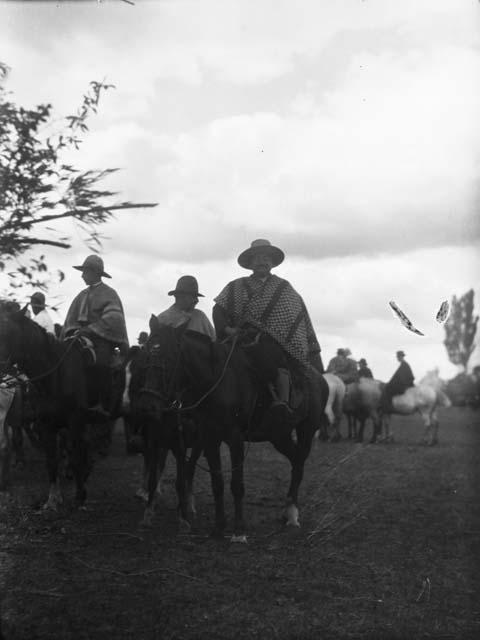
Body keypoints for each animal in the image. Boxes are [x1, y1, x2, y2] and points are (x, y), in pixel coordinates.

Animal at [0, 304, 113, 510]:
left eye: (9, 334)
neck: (53, 376)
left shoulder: (75, 421)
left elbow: (74, 455)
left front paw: (80, 496)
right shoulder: (46, 424)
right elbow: (51, 460)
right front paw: (53, 499)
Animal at [137, 318, 328, 536]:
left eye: (169, 357)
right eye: (145, 354)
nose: (147, 405)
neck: (216, 381)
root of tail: (320, 378)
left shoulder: (235, 438)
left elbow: (237, 485)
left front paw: (238, 531)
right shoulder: (209, 438)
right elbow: (217, 483)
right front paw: (219, 527)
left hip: (307, 430)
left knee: (299, 465)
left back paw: (293, 515)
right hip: (279, 435)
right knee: (295, 459)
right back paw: (287, 511)